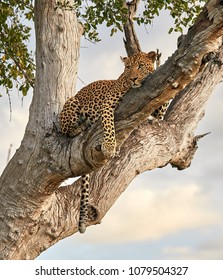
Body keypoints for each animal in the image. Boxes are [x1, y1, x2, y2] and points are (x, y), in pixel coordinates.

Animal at [59, 50, 157, 234]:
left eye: (140, 66)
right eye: (128, 67)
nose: (133, 79)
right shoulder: (107, 105)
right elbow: (109, 125)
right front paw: (110, 146)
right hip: (72, 103)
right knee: (65, 130)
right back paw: (80, 128)